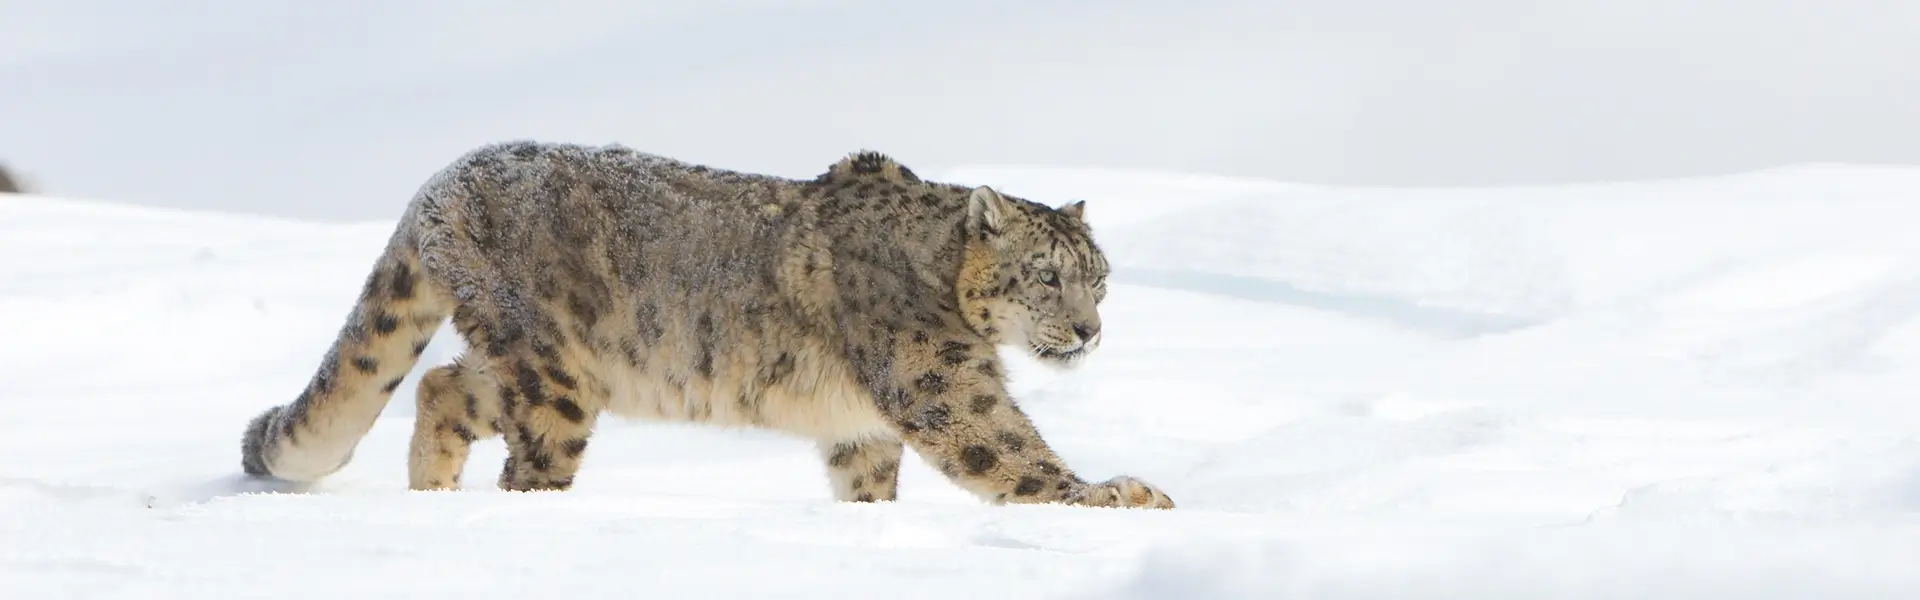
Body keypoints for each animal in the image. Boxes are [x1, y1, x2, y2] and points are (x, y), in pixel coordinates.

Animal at [238, 140, 1175, 509]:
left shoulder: (862, 427)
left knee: (437, 384)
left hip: (525, 360)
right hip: (553, 372)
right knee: (526, 456)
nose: (1089, 332)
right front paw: (1120, 495)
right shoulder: (940, 380)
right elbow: (1012, 451)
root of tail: (442, 181)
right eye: (1048, 276)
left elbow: (868, 481)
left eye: (1102, 280)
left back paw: (429, 496)